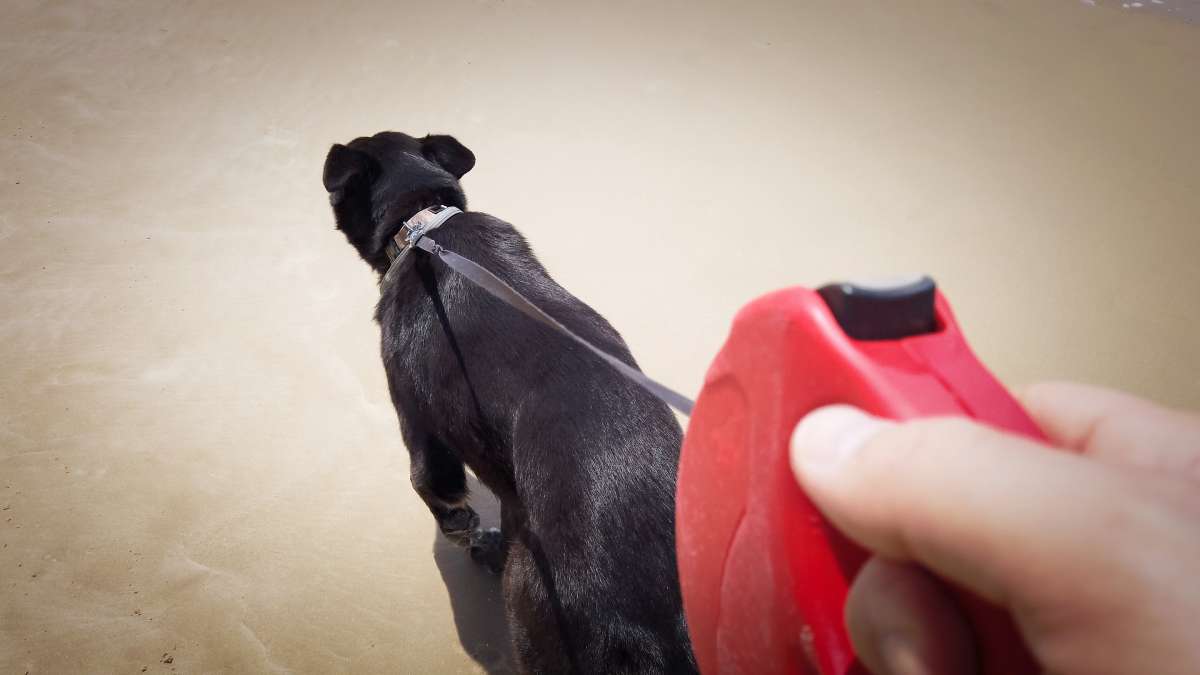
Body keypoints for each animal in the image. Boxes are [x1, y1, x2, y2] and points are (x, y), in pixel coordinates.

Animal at [324, 128, 700, 667]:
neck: (422, 224)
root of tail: (655, 627)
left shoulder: (420, 431)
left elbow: (441, 498)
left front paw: (473, 539)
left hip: (528, 597)